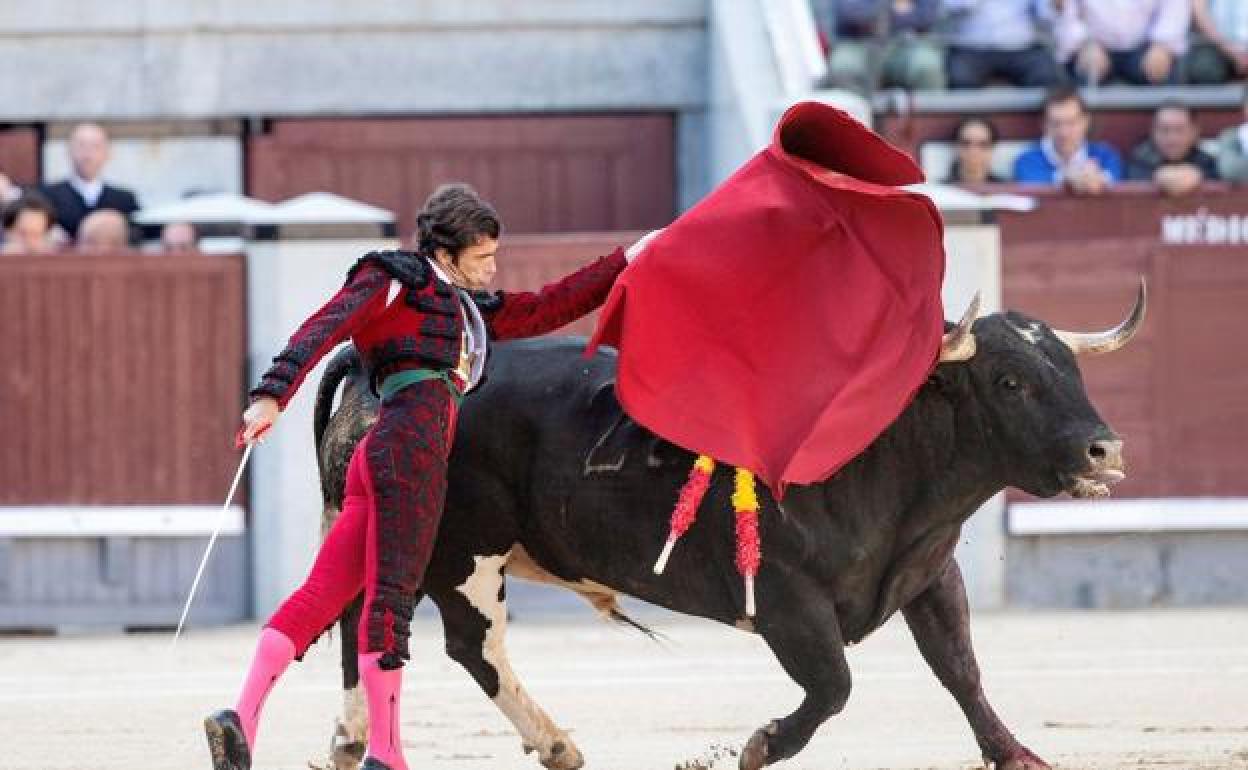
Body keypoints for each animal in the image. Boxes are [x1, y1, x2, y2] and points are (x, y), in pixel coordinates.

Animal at [309, 287, 1143, 768]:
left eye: (1072, 372)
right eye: (1010, 381)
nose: (1104, 450)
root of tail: (378, 369)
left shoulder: (930, 573)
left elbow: (960, 668)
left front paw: (1016, 756)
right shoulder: (784, 597)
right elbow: (834, 684)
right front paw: (760, 745)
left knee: (371, 622)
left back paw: (365, 741)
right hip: (457, 550)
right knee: (453, 640)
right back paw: (542, 743)